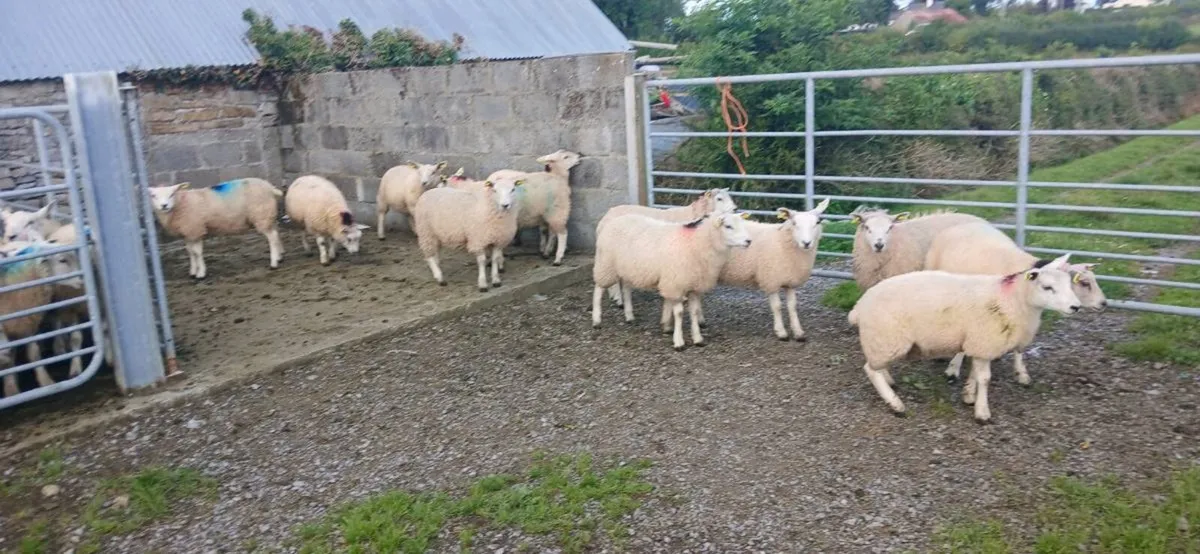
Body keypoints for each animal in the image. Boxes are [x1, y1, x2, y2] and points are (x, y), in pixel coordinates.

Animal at [148, 179, 284, 279]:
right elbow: (190, 252)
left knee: (272, 237)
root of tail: (270, 187)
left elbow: (197, 252)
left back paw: (273, 263)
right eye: (153, 196)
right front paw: (192, 272)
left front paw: (201, 274)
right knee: (276, 232)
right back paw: (279, 256)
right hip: (268, 215)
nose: (164, 205)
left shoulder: (196, 229)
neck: (180, 204)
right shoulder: (187, 233)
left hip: (261, 214)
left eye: (172, 194)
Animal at [591, 211, 753, 351]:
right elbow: (680, 313)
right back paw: (597, 320)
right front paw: (679, 341)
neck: (697, 243)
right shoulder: (676, 284)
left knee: (626, 288)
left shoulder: (694, 285)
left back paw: (629, 316)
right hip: (606, 265)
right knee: (598, 289)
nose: (748, 241)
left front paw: (698, 339)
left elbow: (694, 312)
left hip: (627, 268)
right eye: (728, 226)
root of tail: (613, 220)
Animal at [712, 198, 831, 341]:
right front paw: (781, 332)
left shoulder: (790, 280)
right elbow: (777, 306)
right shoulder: (771, 279)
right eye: (794, 223)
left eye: (817, 222)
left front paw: (798, 332)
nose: (806, 243)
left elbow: (792, 306)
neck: (782, 242)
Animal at [847, 253, 1082, 422]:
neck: (1014, 301)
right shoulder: (985, 341)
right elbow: (985, 378)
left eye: (1070, 284)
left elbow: (975, 373)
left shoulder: (977, 343)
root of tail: (859, 306)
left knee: (876, 365)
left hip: (882, 340)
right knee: (870, 369)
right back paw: (895, 404)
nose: (1076, 307)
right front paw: (982, 412)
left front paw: (969, 395)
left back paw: (889, 381)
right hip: (887, 337)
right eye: (1047, 287)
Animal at [925, 221, 1108, 385]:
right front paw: (953, 369)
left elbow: (1019, 347)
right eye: (1084, 283)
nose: (1104, 303)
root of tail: (961, 225)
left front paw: (1021, 373)